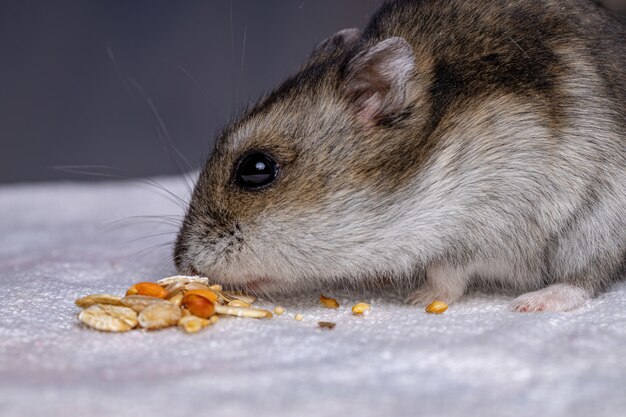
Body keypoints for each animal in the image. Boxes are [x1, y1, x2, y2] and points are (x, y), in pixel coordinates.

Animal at [174, 0, 624, 312]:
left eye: (256, 169)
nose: (184, 265)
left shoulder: (489, 221)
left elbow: (446, 270)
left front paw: (418, 298)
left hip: (597, 224)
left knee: (586, 277)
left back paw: (533, 302)